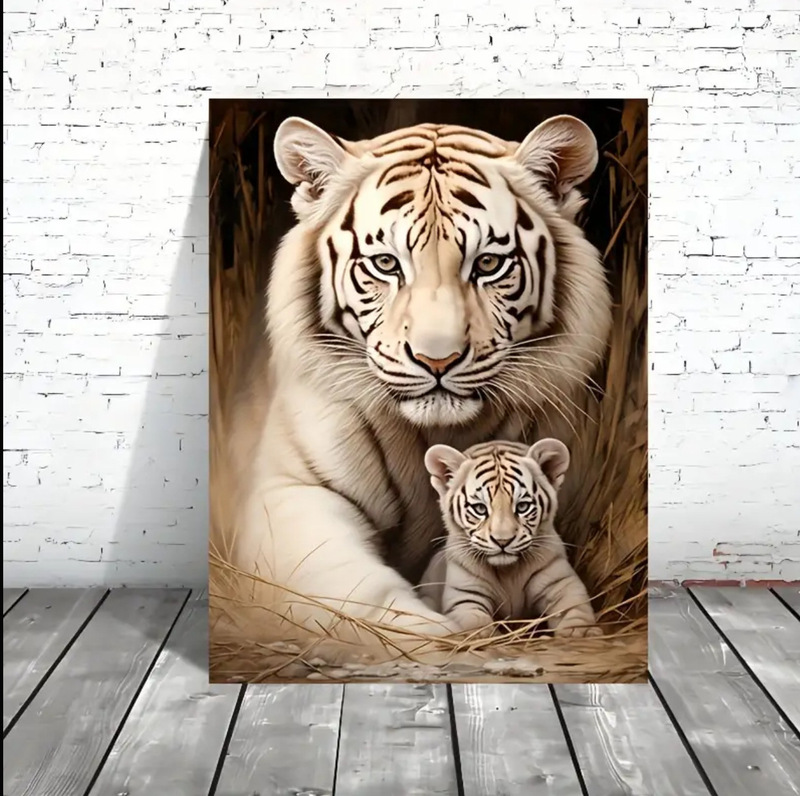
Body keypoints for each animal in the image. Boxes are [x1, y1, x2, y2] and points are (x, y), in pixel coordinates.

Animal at [418, 438, 602, 639]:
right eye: (480, 508)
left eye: (522, 506)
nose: (503, 541)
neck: (508, 573)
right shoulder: (465, 597)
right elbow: (477, 625)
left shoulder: (562, 584)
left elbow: (575, 610)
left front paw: (580, 633)